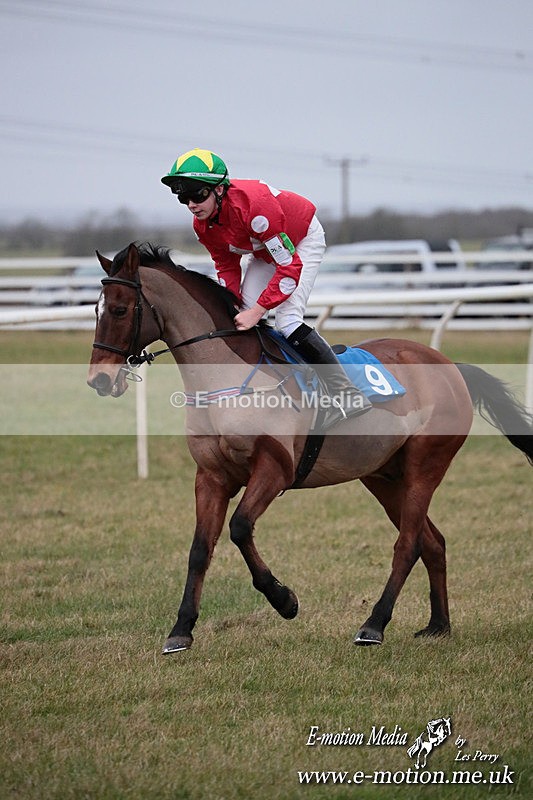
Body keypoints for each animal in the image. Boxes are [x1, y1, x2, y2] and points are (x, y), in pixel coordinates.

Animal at [87, 242, 533, 655]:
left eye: (121, 310)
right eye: (95, 310)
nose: (99, 381)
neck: (225, 379)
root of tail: (450, 365)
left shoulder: (275, 469)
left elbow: (240, 527)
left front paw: (284, 600)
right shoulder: (211, 476)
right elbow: (200, 549)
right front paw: (181, 630)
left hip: (426, 466)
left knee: (407, 545)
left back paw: (373, 625)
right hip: (384, 476)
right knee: (432, 542)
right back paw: (438, 624)